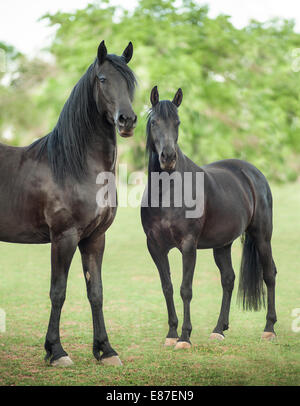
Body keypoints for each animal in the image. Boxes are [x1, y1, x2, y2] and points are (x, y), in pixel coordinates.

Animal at [0, 42, 137, 368]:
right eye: (102, 79)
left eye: (131, 82)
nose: (127, 120)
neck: (75, 166)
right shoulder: (64, 237)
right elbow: (58, 291)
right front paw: (56, 351)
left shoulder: (95, 238)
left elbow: (96, 292)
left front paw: (106, 350)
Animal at [142, 86, 278, 348]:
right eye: (154, 122)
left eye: (178, 122)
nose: (168, 157)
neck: (168, 192)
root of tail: (253, 173)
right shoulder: (155, 247)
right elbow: (167, 287)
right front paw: (171, 333)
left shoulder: (188, 246)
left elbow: (185, 289)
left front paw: (185, 337)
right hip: (222, 245)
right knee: (228, 279)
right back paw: (219, 329)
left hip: (262, 237)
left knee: (269, 274)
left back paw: (269, 329)